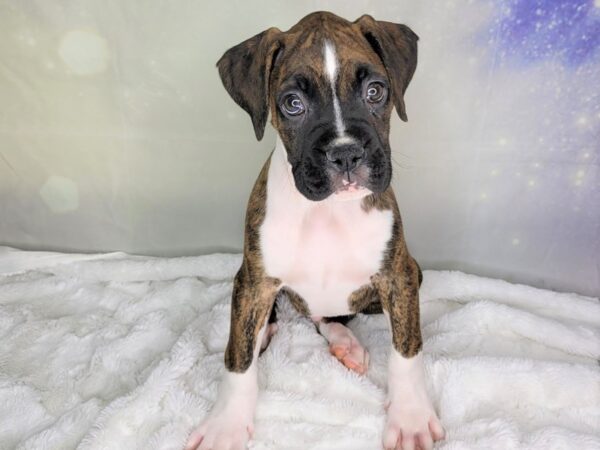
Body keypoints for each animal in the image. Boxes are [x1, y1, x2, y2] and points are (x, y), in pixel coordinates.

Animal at [188, 10, 446, 450]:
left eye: (376, 91)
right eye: (293, 104)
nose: (346, 153)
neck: (328, 212)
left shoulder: (399, 276)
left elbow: (407, 347)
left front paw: (410, 415)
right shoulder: (254, 280)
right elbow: (237, 357)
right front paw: (226, 423)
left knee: (328, 317)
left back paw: (346, 345)